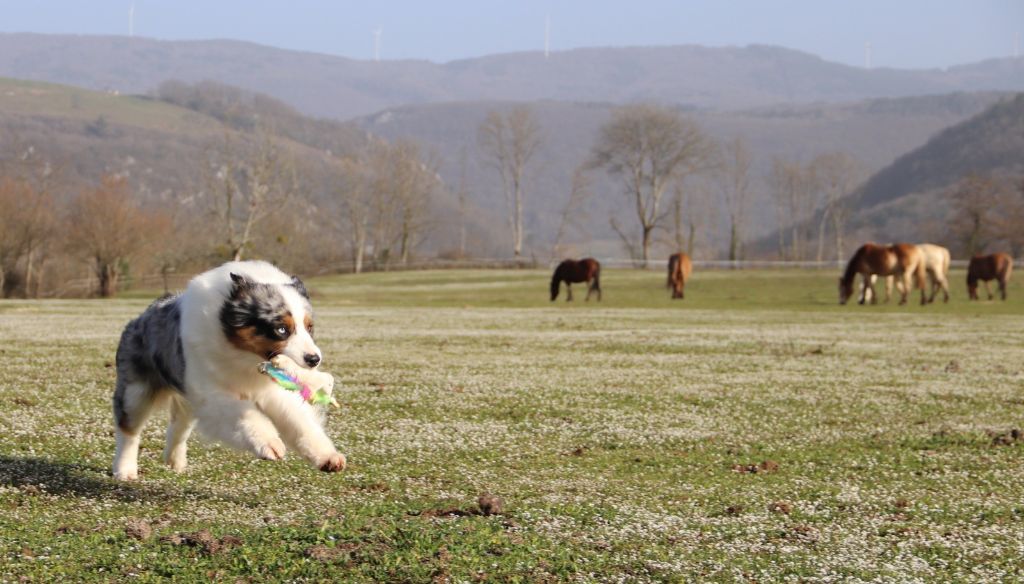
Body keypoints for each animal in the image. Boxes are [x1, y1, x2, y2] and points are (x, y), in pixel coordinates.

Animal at [110, 261, 346, 479]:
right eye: (281, 329)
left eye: (309, 327)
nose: (314, 359)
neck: (245, 357)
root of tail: (142, 317)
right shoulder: (212, 393)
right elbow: (244, 415)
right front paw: (270, 444)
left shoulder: (272, 390)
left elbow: (299, 422)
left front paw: (327, 457)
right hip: (136, 392)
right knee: (128, 429)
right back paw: (125, 470)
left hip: (187, 398)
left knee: (179, 425)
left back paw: (175, 461)